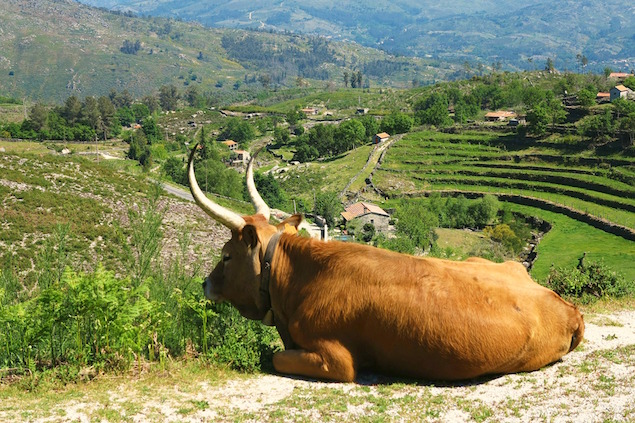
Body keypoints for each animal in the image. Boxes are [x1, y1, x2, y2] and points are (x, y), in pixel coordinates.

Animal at [189, 147, 588, 384]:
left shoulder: (336, 360)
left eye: (226, 255)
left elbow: (274, 357)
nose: (205, 284)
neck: (302, 279)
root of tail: (569, 308)